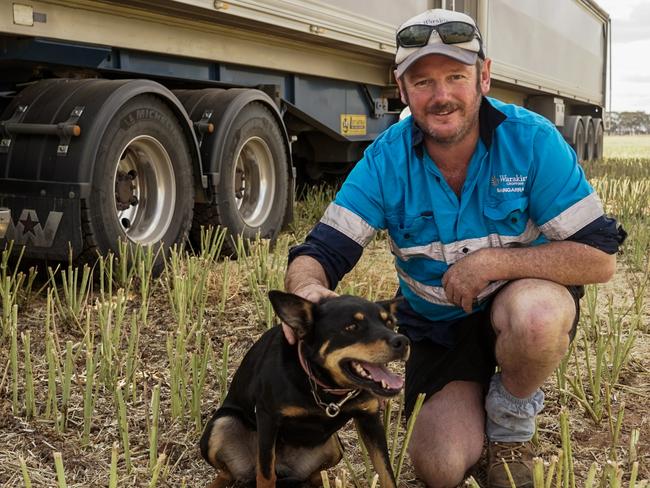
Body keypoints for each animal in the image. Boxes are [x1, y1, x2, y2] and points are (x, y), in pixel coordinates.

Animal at [200, 292, 408, 486]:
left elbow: (386, 472)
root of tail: (284, 469)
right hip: (221, 424)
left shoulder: (370, 420)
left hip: (334, 446)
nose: (403, 341)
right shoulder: (267, 418)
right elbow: (265, 475)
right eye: (351, 327)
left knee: (315, 474)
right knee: (230, 472)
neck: (326, 388)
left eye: (390, 323)